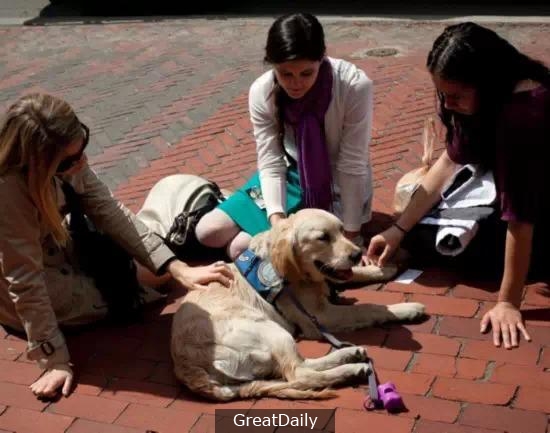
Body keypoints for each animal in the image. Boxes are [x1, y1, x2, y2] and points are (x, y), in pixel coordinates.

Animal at [172, 208, 426, 400]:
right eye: (323, 237)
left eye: (342, 230)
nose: (355, 254)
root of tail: (189, 370)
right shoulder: (320, 315)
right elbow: (368, 308)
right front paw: (407, 309)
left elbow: (355, 274)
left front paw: (385, 268)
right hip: (269, 329)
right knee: (300, 374)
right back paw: (352, 369)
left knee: (305, 366)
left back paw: (349, 354)